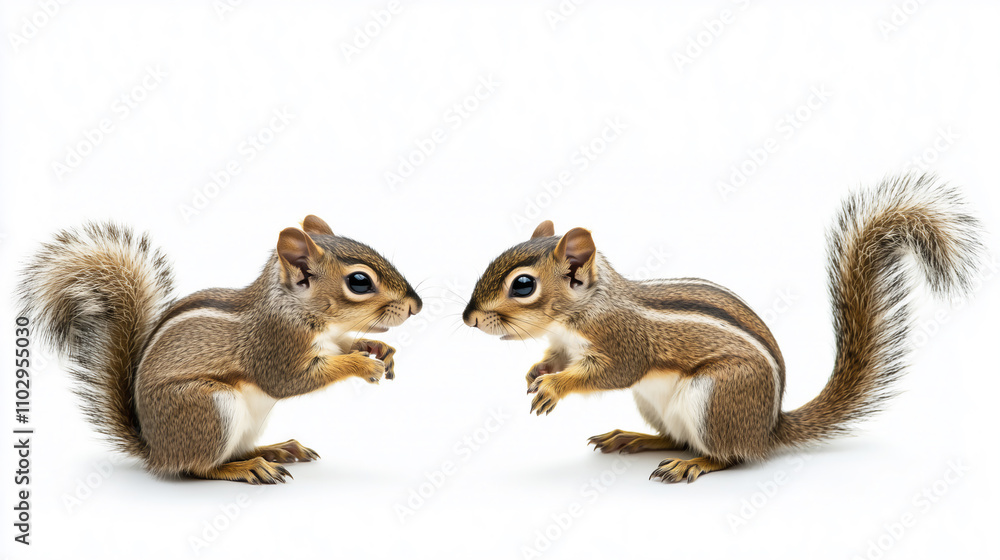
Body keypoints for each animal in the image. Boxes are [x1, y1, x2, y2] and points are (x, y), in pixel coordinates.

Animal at [18, 215, 422, 484]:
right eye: (359, 281)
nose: (416, 306)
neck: (301, 311)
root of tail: (155, 450)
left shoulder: (333, 338)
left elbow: (349, 343)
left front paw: (380, 349)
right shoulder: (274, 347)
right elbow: (291, 381)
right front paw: (361, 365)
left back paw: (276, 449)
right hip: (210, 407)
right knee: (199, 467)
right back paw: (248, 467)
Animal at [463, 174, 983, 483]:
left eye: (523, 285)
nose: (468, 318)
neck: (579, 312)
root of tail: (767, 430)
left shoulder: (622, 340)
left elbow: (609, 373)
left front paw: (554, 387)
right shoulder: (564, 344)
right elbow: (552, 359)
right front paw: (536, 373)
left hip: (715, 396)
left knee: (726, 455)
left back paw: (691, 463)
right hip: (656, 405)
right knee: (676, 436)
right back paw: (635, 438)